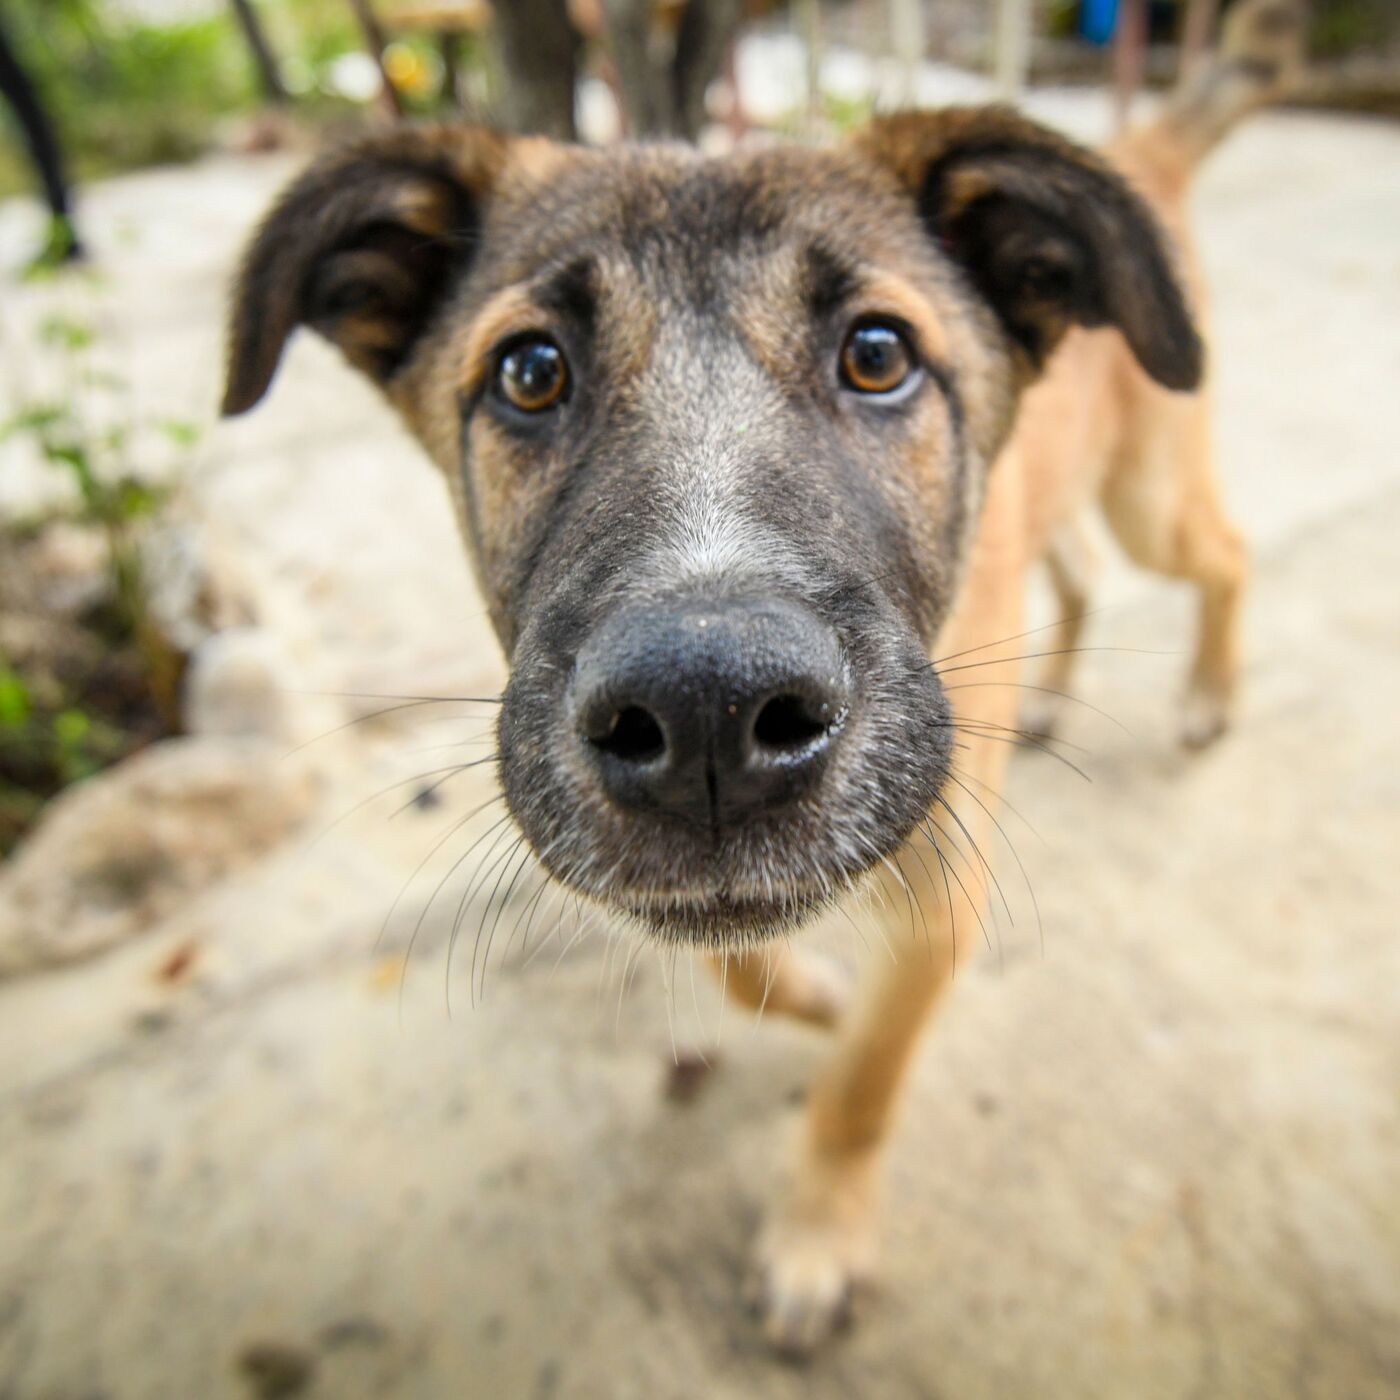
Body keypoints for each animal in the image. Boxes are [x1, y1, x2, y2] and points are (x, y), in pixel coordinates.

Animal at [218, 0, 1299, 1355]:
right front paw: (818, 995)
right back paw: (1053, 692)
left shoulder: (939, 876)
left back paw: (1207, 694)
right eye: (528, 371)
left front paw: (816, 1237)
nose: (707, 715)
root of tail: (1138, 150)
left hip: (1148, 485)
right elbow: (737, 965)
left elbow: (860, 1085)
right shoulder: (683, 882)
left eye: (878, 353)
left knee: (1219, 552)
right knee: (1082, 565)